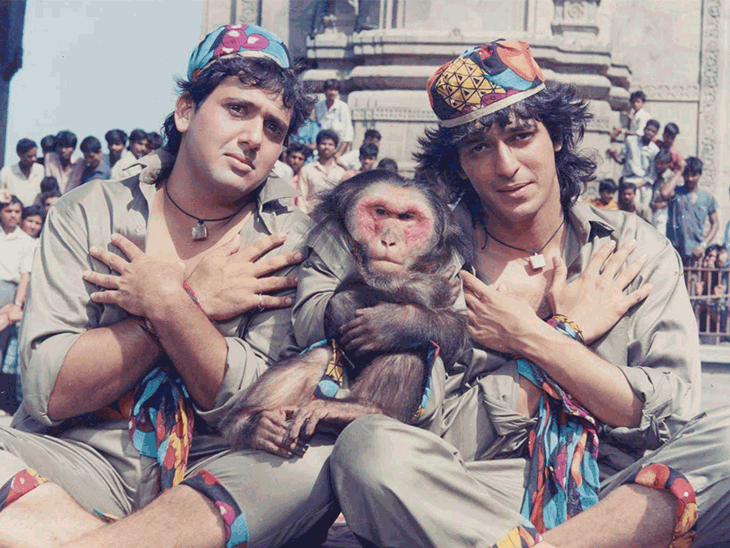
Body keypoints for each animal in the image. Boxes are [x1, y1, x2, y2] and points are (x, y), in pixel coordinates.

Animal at [218, 169, 471, 458]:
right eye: (381, 212)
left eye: (407, 218)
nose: (389, 239)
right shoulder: (327, 237)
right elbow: (312, 308)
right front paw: (425, 288)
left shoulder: (453, 264)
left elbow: (455, 337)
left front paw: (393, 321)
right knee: (319, 354)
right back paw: (251, 423)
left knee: (414, 344)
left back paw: (365, 407)